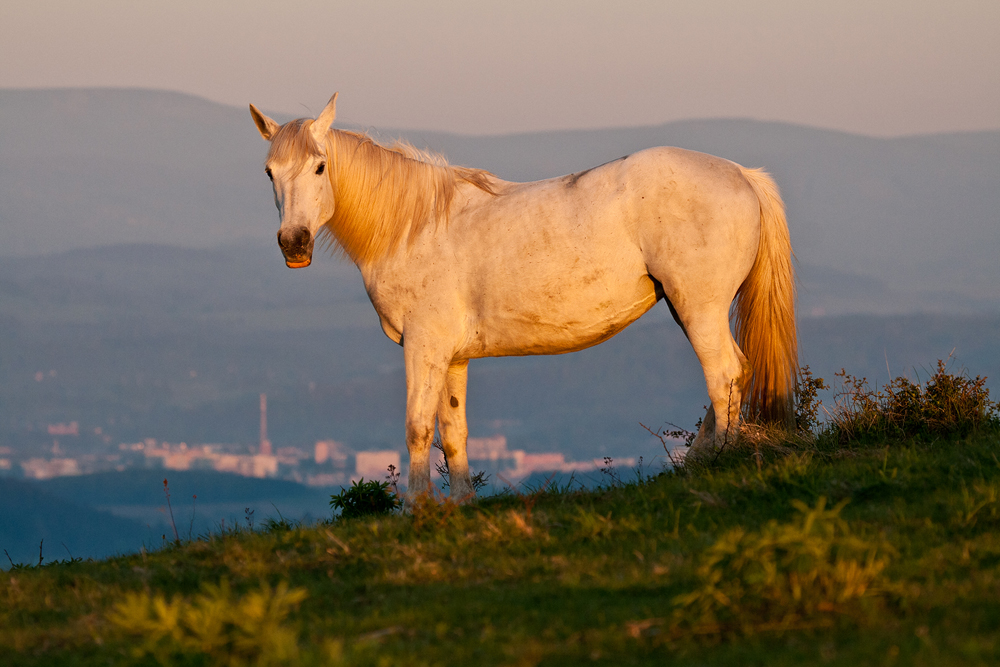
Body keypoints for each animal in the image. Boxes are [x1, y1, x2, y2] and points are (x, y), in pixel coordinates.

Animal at [250, 94, 796, 500]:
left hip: (699, 308)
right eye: (270, 172)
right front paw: (460, 507)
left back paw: (718, 465)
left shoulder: (423, 347)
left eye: (320, 167)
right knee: (729, 378)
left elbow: (417, 428)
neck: (414, 227)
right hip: (688, 309)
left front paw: (418, 509)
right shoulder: (452, 357)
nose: (294, 244)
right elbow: (452, 432)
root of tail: (742, 174)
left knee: (725, 375)